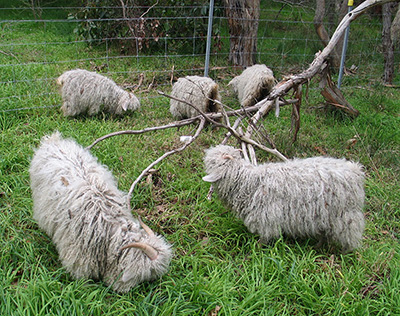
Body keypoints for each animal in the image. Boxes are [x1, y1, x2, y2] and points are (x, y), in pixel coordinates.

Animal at [203, 145, 366, 252]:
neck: (249, 183)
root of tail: (356, 171)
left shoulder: (266, 218)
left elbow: (265, 237)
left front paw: (257, 248)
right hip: (326, 214)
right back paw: (318, 246)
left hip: (345, 216)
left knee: (350, 235)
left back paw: (345, 252)